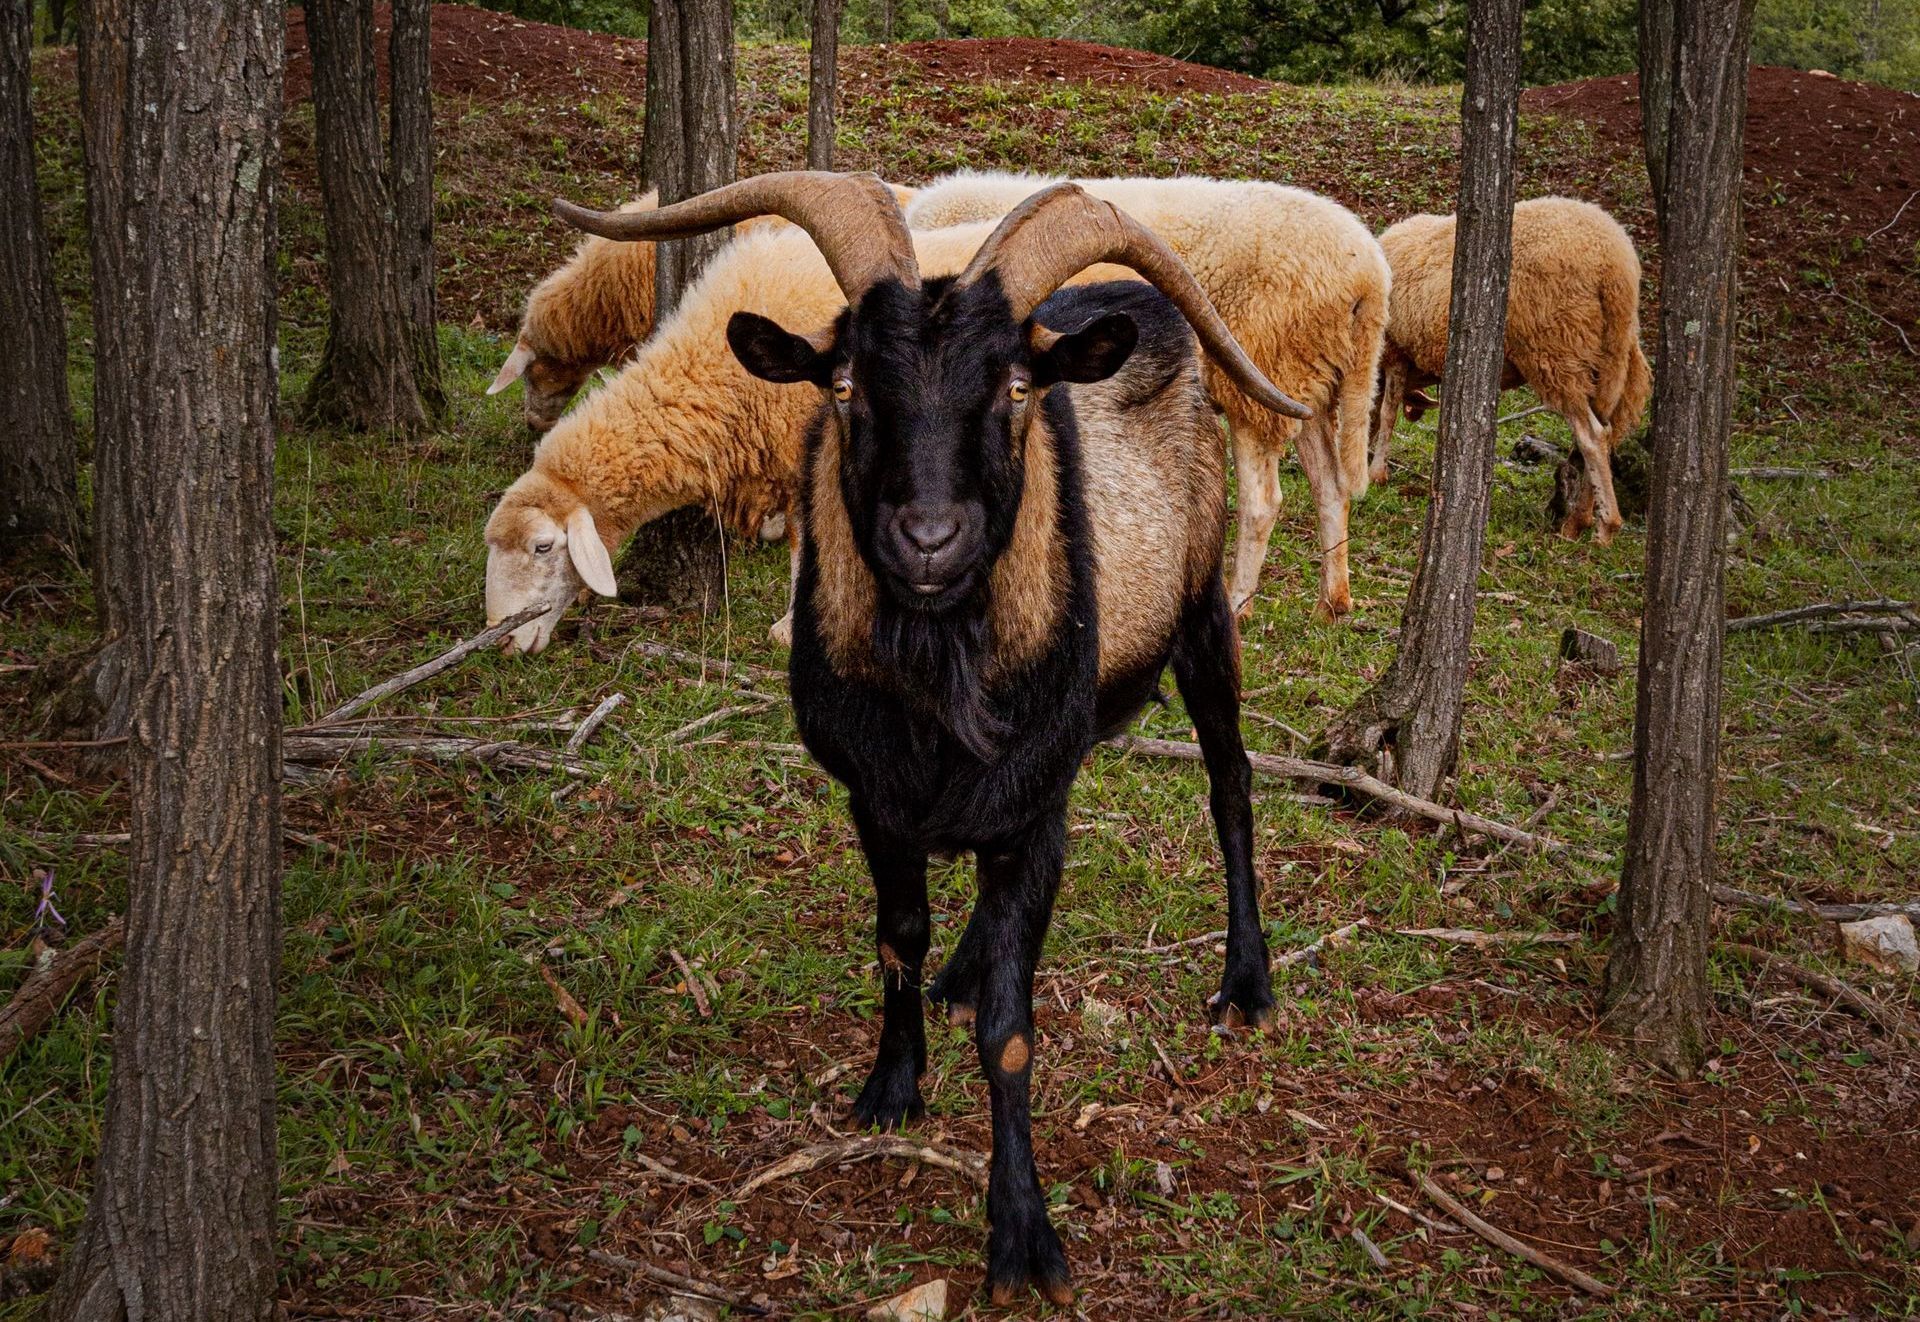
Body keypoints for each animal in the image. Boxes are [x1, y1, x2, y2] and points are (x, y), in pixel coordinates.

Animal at [549, 171, 1310, 1304]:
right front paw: (893, 1080)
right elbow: (895, 936)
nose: (929, 541)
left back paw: (1247, 982)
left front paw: (1023, 1235)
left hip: (1203, 613)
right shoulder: (876, 795)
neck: (939, 682)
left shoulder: (1033, 807)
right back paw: (966, 965)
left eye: (1015, 389)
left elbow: (1012, 1031)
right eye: (846, 384)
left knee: (1232, 783)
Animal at [906, 170, 1390, 620]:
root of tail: (1370, 274)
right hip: (1307, 387)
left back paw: (1239, 604)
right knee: (1331, 486)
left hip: (1261, 382)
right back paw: (1333, 600)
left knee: (1263, 504)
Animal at [1368, 196, 1652, 543]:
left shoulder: (1396, 350)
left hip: (1557, 348)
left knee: (1592, 436)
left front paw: (1377, 473)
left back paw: (1601, 527)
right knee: (1606, 432)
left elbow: (1388, 413)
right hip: (1610, 353)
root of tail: (1615, 264)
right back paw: (1580, 519)